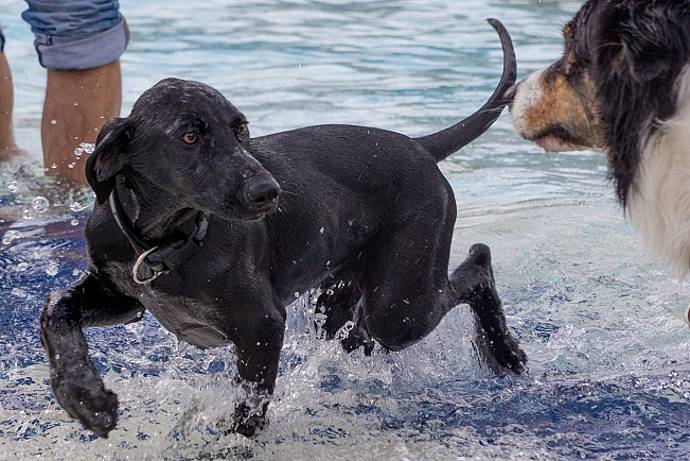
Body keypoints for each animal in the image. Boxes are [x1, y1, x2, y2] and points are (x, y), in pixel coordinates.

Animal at [40, 18, 524, 436]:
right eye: (189, 136)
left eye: (241, 129)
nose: (268, 192)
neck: (166, 243)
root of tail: (420, 146)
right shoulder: (123, 297)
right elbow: (55, 311)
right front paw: (84, 397)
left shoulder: (261, 324)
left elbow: (250, 405)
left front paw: (231, 444)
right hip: (340, 305)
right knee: (364, 336)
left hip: (399, 305)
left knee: (477, 264)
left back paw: (504, 352)